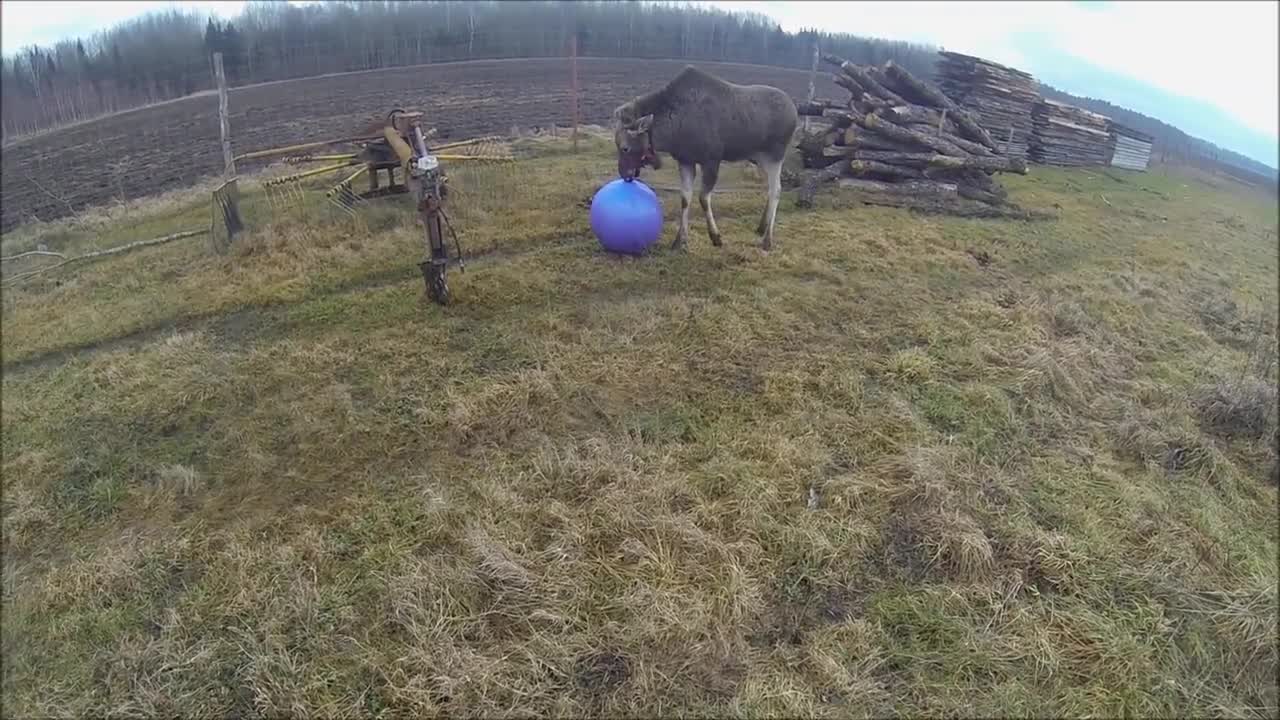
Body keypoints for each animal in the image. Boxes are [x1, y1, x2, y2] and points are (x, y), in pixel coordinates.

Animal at [611, 64, 798, 253]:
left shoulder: (711, 160)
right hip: (758, 158)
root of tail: (794, 109)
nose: (624, 174)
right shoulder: (685, 161)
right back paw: (762, 227)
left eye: (625, 148)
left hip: (774, 156)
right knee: (769, 188)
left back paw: (767, 240)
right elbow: (685, 198)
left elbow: (703, 197)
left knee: (776, 190)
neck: (671, 130)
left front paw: (715, 237)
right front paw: (679, 241)